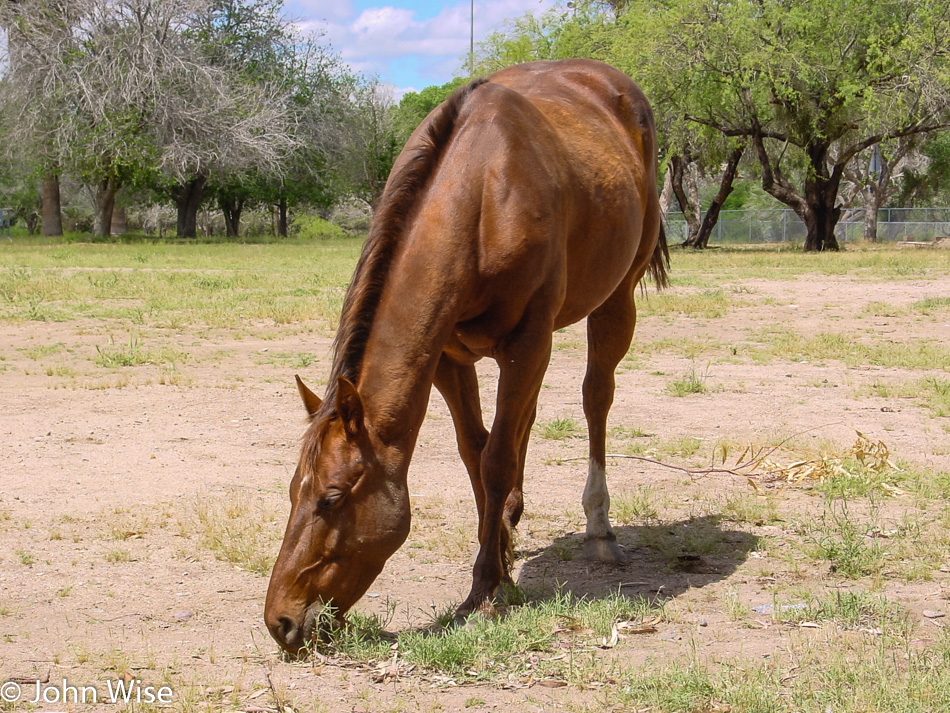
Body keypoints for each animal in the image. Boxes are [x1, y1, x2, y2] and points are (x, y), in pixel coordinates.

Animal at [268, 58, 668, 652]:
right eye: (294, 489)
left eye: (334, 497)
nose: (280, 622)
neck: (482, 196)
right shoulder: (448, 358)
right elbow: (475, 452)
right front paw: (499, 553)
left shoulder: (528, 341)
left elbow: (496, 456)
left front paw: (484, 587)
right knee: (525, 419)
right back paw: (514, 516)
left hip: (614, 301)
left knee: (596, 398)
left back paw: (599, 528)